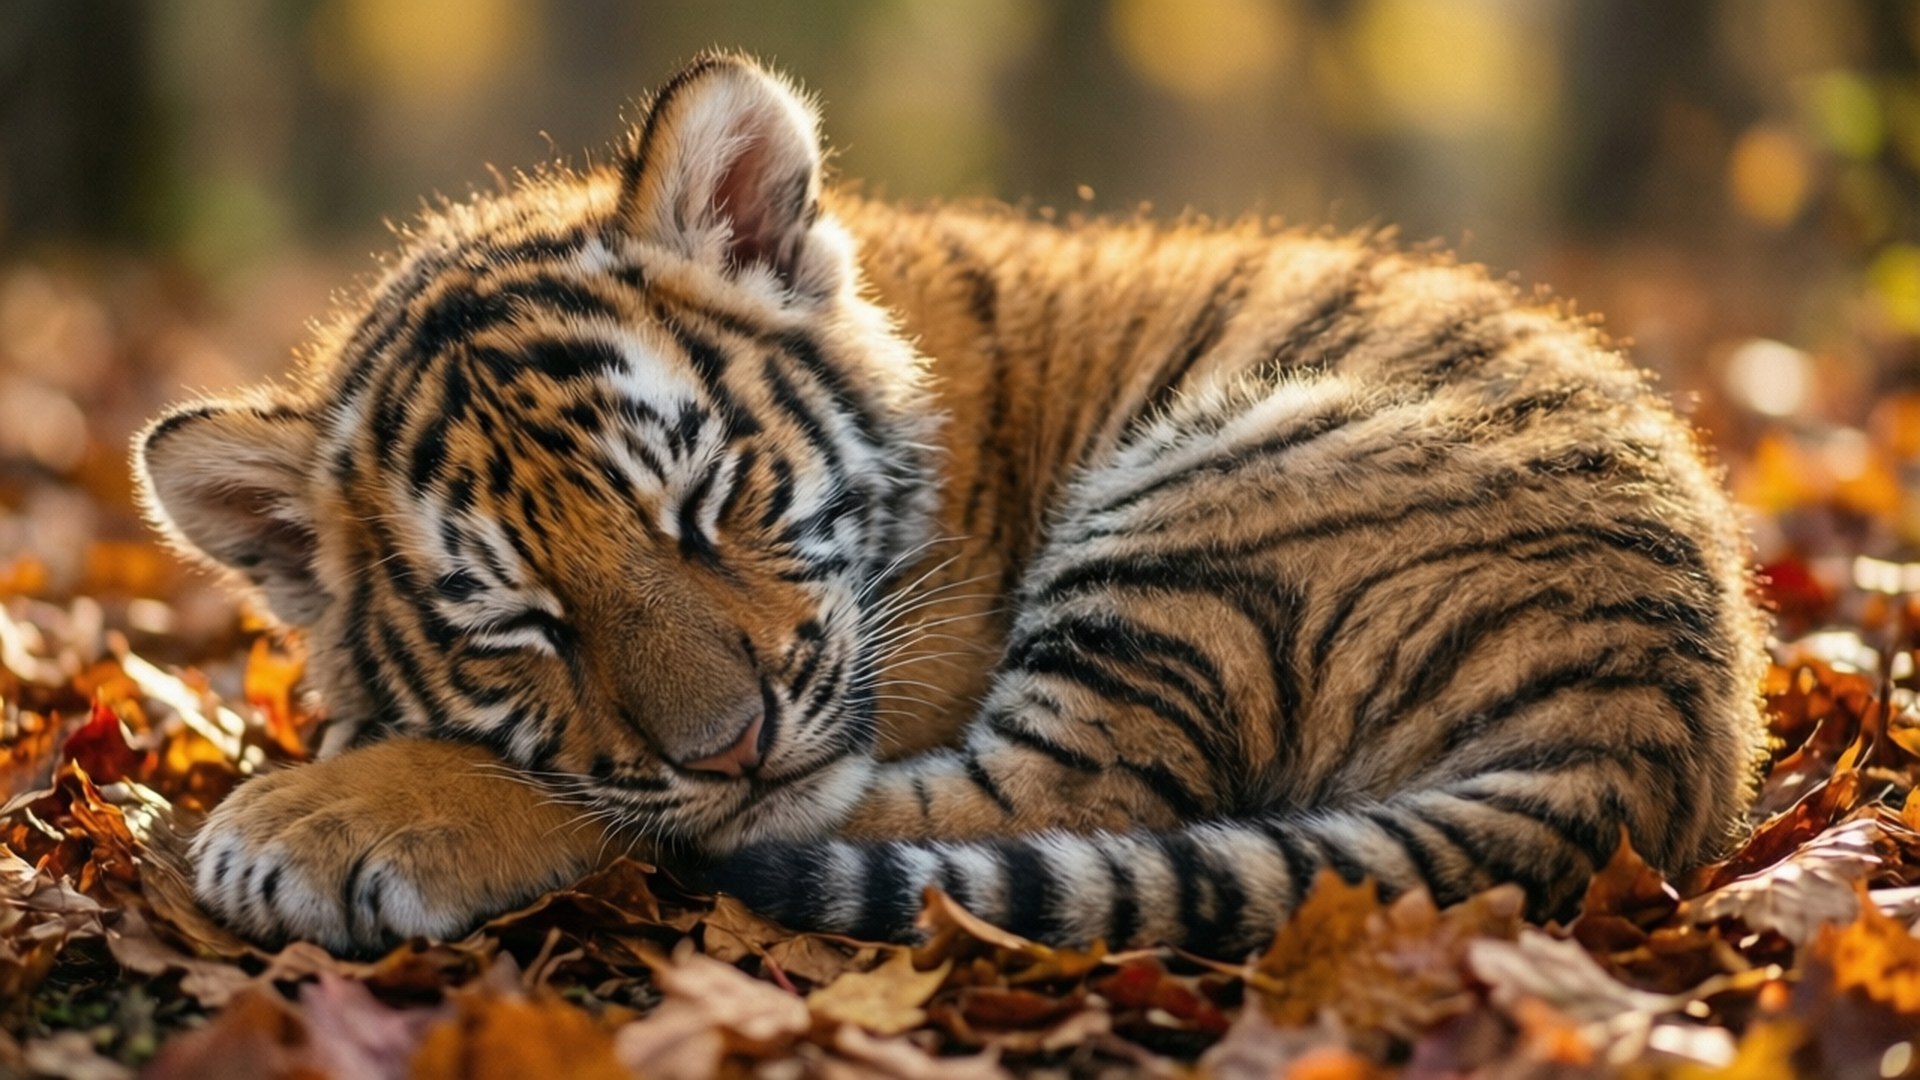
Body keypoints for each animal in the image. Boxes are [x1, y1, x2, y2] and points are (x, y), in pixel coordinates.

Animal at [134, 53, 1770, 957]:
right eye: (520, 625)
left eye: (704, 503)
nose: (728, 748)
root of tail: (1659, 722)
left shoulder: (884, 665)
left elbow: (607, 793)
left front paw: (315, 814)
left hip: (1220, 501)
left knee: (1037, 801)